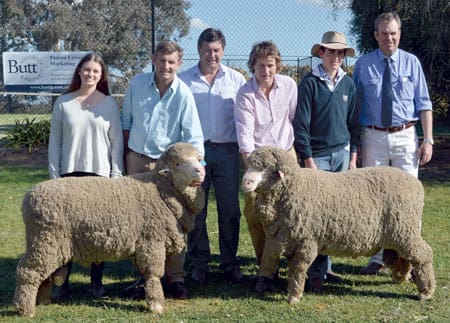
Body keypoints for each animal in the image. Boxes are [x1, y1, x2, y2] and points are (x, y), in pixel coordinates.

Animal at [12, 143, 206, 318]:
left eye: (198, 159)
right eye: (178, 164)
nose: (200, 172)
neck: (161, 189)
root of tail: (28, 198)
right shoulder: (152, 241)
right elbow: (154, 274)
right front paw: (156, 305)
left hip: (45, 243)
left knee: (40, 275)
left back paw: (42, 301)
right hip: (45, 240)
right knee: (28, 271)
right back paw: (26, 310)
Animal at [243, 146, 436, 306]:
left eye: (266, 168)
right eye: (250, 165)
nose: (245, 182)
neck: (295, 188)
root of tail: (417, 184)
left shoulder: (306, 240)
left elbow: (298, 269)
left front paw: (294, 297)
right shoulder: (287, 239)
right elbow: (289, 268)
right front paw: (293, 290)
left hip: (406, 229)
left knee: (423, 254)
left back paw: (426, 291)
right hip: (399, 233)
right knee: (403, 257)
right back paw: (400, 277)